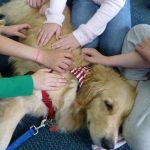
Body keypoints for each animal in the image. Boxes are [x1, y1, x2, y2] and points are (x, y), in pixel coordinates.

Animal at [0, 0, 136, 149]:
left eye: (123, 119)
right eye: (108, 105)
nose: (109, 145)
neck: (76, 84)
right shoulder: (21, 100)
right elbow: (4, 139)